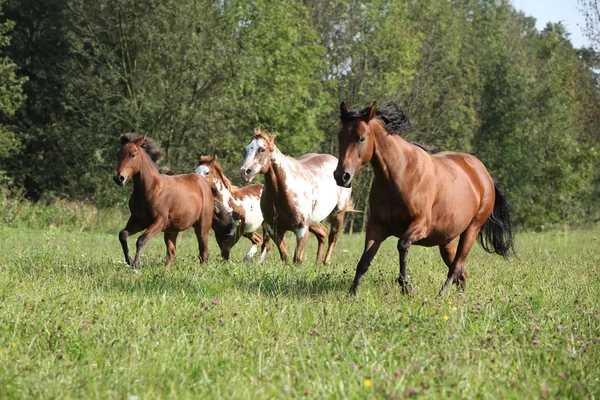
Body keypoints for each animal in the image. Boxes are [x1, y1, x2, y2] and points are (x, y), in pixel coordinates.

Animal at [113, 132, 214, 268]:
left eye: (133, 154)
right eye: (118, 154)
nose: (118, 178)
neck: (148, 189)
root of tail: (204, 182)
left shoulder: (159, 221)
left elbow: (141, 239)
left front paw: (136, 264)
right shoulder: (138, 221)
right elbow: (123, 234)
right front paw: (129, 260)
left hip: (202, 227)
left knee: (204, 253)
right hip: (172, 230)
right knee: (172, 253)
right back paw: (164, 271)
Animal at [239, 130, 354, 264]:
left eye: (262, 149)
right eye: (246, 149)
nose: (245, 171)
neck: (281, 193)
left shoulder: (302, 228)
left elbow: (297, 259)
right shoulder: (274, 229)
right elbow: (286, 257)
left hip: (338, 213)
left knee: (332, 237)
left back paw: (326, 262)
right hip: (313, 221)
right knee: (323, 234)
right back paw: (317, 264)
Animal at [332, 102, 516, 296]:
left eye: (361, 138)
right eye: (340, 136)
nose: (341, 176)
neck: (398, 175)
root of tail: (485, 176)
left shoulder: (421, 225)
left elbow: (402, 245)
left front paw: (406, 286)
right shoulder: (376, 226)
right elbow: (364, 260)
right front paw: (352, 293)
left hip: (471, 230)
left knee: (455, 267)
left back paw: (441, 295)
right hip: (447, 241)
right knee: (461, 271)